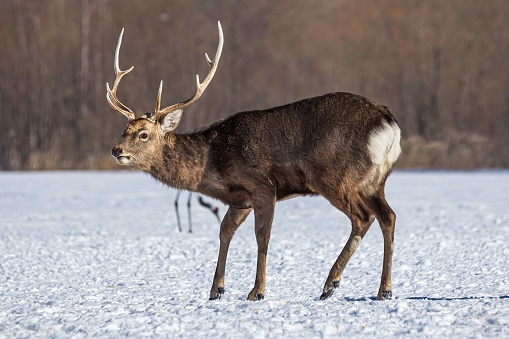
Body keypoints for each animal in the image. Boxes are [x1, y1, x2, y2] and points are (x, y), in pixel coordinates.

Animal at [107, 22, 400, 302]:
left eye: (143, 134)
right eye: (124, 129)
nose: (116, 150)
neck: (213, 163)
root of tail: (389, 124)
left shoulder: (262, 186)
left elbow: (262, 236)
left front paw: (257, 291)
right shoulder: (240, 200)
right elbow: (224, 231)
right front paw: (216, 289)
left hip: (334, 177)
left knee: (363, 217)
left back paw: (330, 284)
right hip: (374, 181)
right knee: (388, 216)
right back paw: (383, 289)